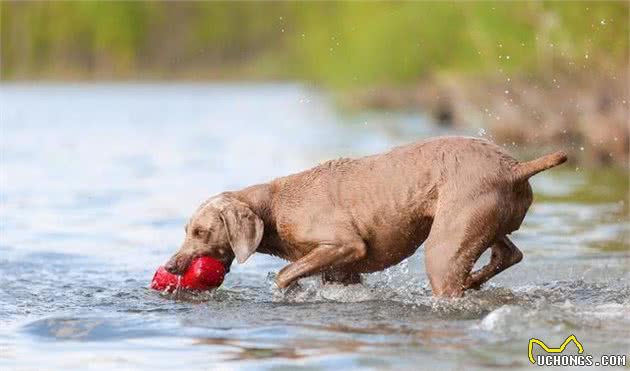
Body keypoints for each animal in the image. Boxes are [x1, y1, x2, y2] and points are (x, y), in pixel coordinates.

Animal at [165, 137, 572, 296]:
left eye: (200, 232)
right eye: (185, 229)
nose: (169, 266)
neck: (274, 205)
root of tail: (515, 167)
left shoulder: (346, 245)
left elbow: (284, 274)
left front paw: (288, 291)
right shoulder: (342, 270)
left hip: (444, 245)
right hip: (479, 221)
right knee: (508, 253)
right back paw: (475, 280)